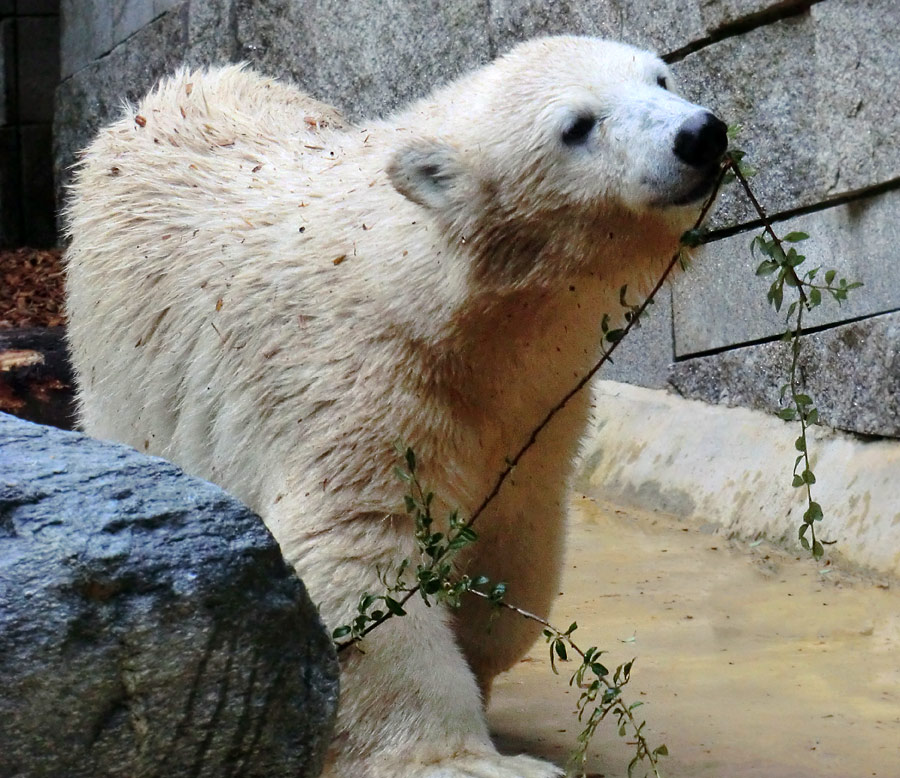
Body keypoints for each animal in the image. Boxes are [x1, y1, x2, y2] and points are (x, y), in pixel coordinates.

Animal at [65, 34, 724, 776]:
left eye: (661, 78)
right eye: (576, 126)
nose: (700, 135)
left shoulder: (535, 408)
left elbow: (514, 543)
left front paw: (480, 663)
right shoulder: (350, 382)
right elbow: (357, 550)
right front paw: (463, 758)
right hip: (121, 366)